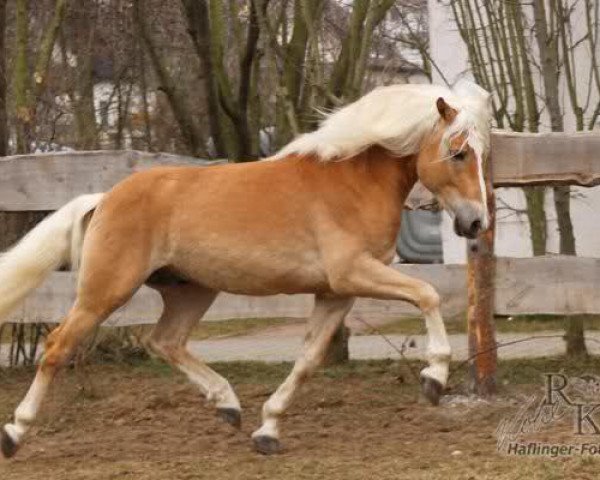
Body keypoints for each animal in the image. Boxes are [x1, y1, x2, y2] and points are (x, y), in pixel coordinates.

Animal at [1, 79, 492, 458]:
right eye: (458, 154)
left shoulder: (336, 292)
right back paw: (15, 432)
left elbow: (308, 359)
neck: (353, 182)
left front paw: (268, 430)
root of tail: (103, 199)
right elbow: (427, 294)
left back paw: (228, 405)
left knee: (165, 341)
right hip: (106, 290)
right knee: (58, 345)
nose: (476, 223)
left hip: (191, 289)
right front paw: (434, 378)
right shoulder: (353, 273)